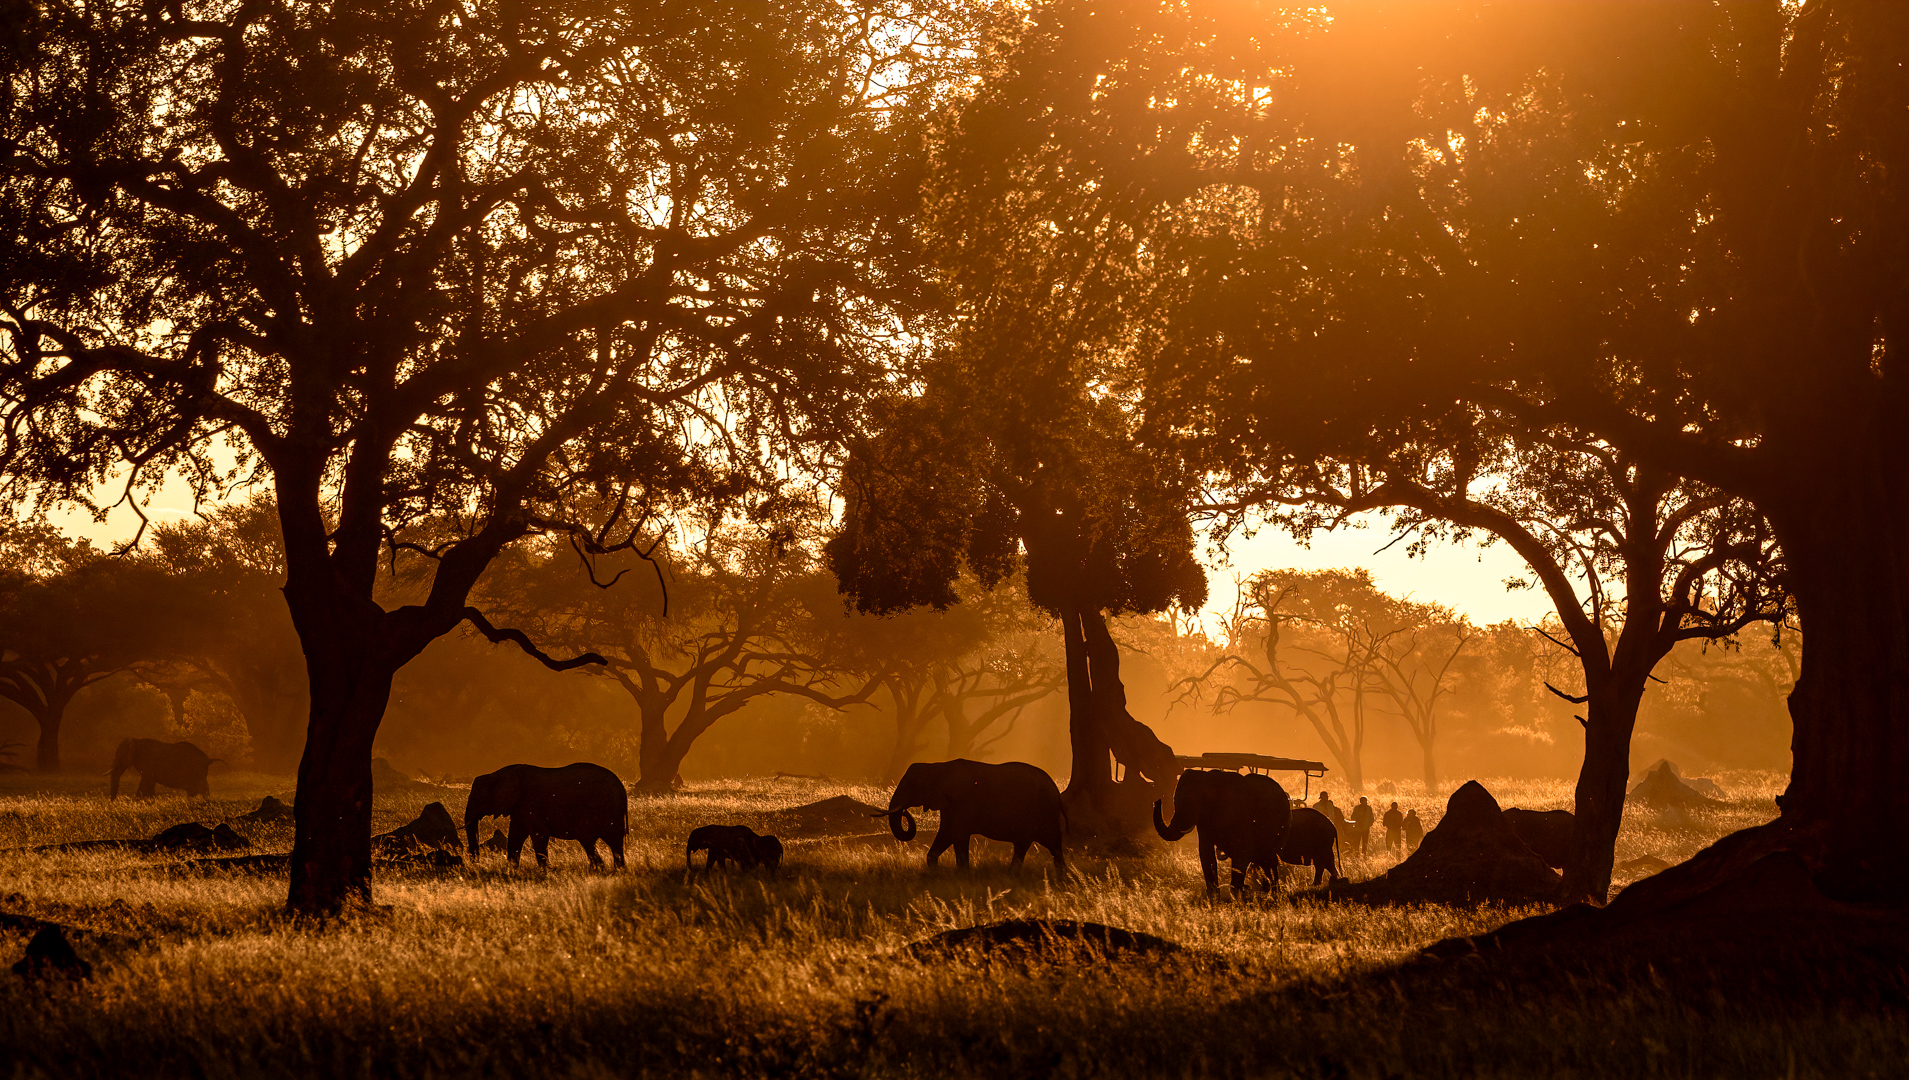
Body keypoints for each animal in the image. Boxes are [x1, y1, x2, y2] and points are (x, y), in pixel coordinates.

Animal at [464, 762, 628, 869]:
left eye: (478, 800)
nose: (476, 863)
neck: (496, 774)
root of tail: (621, 787)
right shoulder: (520, 808)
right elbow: (515, 836)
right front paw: (511, 871)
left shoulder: (531, 804)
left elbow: (539, 834)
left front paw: (547, 871)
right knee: (614, 842)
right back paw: (616, 871)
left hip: (602, 808)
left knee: (587, 837)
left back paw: (600, 870)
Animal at [880, 759, 1066, 872]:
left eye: (911, 785)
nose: (905, 811)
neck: (937, 766)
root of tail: (1056, 790)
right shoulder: (950, 806)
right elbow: (946, 834)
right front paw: (936, 872)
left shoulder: (962, 802)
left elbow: (958, 836)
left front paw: (963, 875)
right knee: (1027, 844)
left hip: (1044, 810)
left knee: (1051, 844)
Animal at [1153, 769, 1292, 895]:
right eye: (1174, 800)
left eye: (1196, 801)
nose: (1157, 800)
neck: (1210, 779)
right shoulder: (1204, 824)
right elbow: (1206, 854)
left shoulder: (1241, 817)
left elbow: (1242, 854)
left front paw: (1237, 898)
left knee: (1269, 860)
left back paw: (1273, 893)